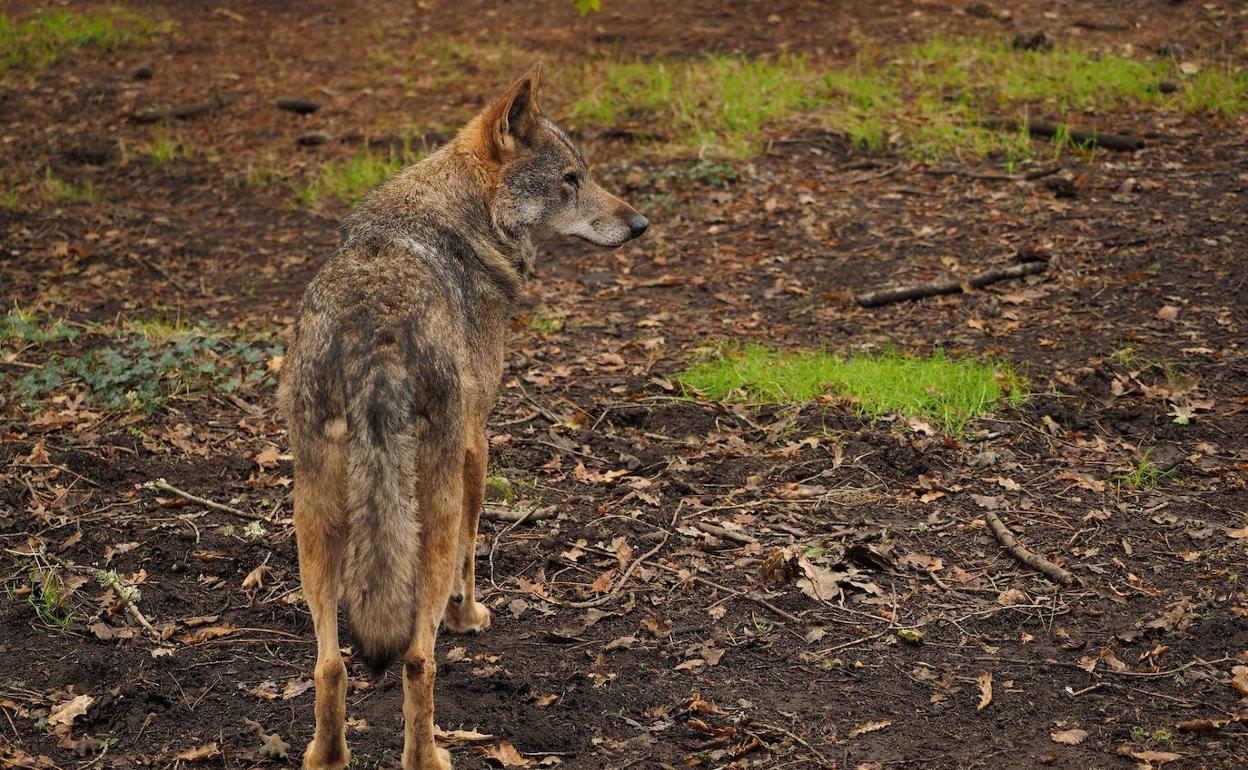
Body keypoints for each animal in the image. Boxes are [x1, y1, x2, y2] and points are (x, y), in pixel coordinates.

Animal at [279, 61, 648, 768]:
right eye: (571, 180)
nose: (640, 224)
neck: (460, 220)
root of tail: (377, 333)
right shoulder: (478, 445)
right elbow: (473, 553)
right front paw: (467, 617)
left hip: (313, 518)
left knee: (330, 664)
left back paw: (326, 755)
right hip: (430, 508)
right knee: (417, 660)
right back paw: (429, 755)